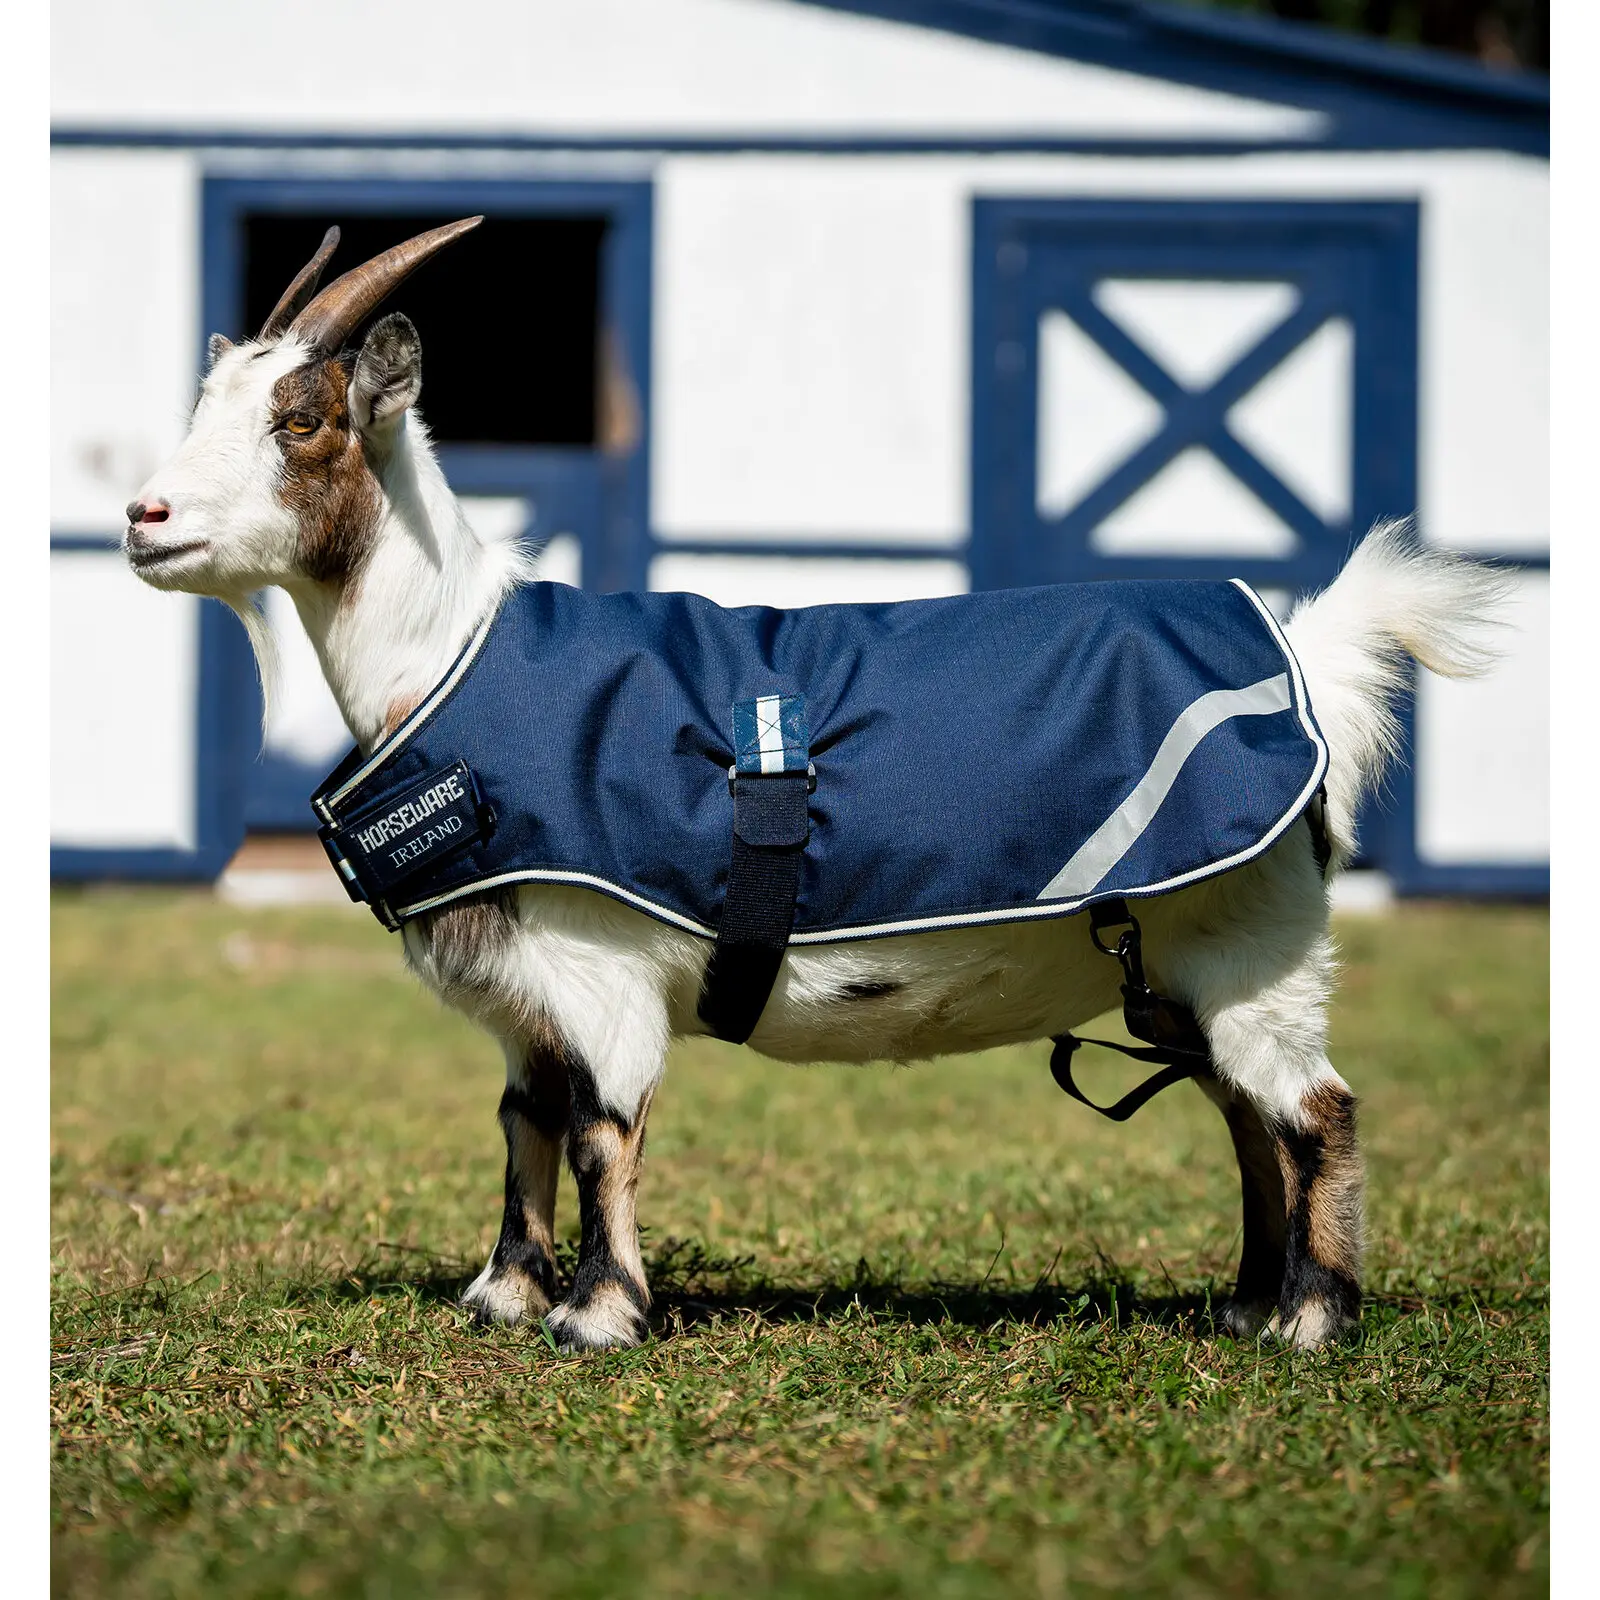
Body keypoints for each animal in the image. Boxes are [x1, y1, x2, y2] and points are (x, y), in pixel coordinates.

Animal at [125, 220, 1507, 1352]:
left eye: (301, 422)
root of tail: (1308, 656)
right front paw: (503, 1294)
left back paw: (1311, 1321)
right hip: (1189, 961)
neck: (450, 658)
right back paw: (1244, 1303)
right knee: (1242, 1115)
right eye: (207, 402)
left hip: (1253, 942)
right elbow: (525, 1117)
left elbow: (600, 1127)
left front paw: (598, 1316)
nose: (145, 517)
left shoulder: (598, 962)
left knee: (1312, 1110)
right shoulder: (527, 990)